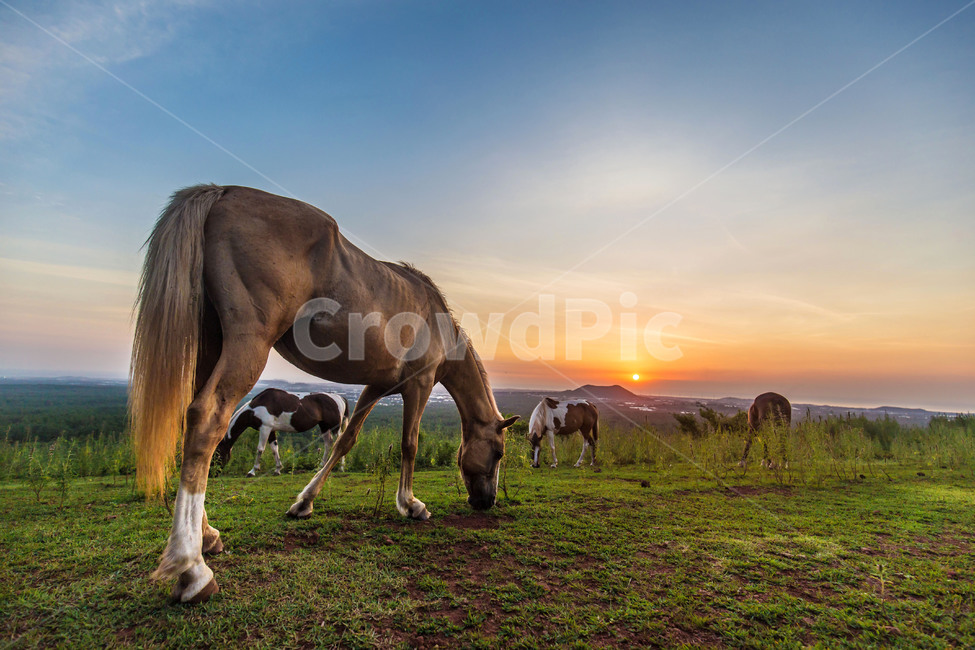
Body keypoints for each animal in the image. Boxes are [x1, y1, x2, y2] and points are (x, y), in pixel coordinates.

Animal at [214, 388, 350, 477]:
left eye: (217, 454)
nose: (212, 473)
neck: (255, 409)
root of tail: (340, 398)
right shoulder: (271, 430)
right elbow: (275, 449)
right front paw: (278, 469)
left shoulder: (265, 428)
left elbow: (260, 449)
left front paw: (252, 471)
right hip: (324, 426)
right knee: (328, 443)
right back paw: (321, 466)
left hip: (335, 427)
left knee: (340, 442)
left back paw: (341, 467)